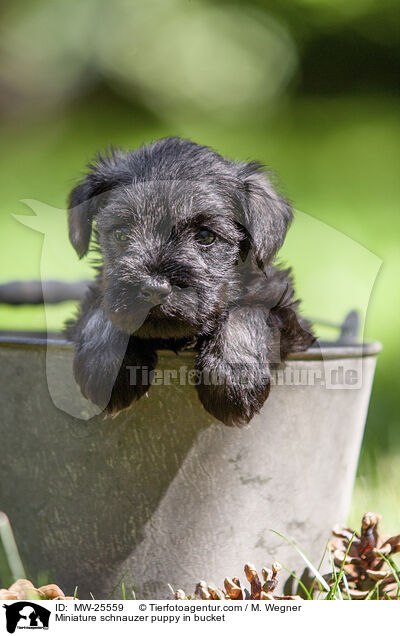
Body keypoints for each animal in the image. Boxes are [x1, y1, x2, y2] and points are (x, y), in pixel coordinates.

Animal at [65, 139, 314, 428]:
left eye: (205, 236)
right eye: (122, 233)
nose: (155, 288)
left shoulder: (285, 314)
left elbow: (247, 313)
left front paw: (232, 378)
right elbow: (102, 312)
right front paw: (108, 366)